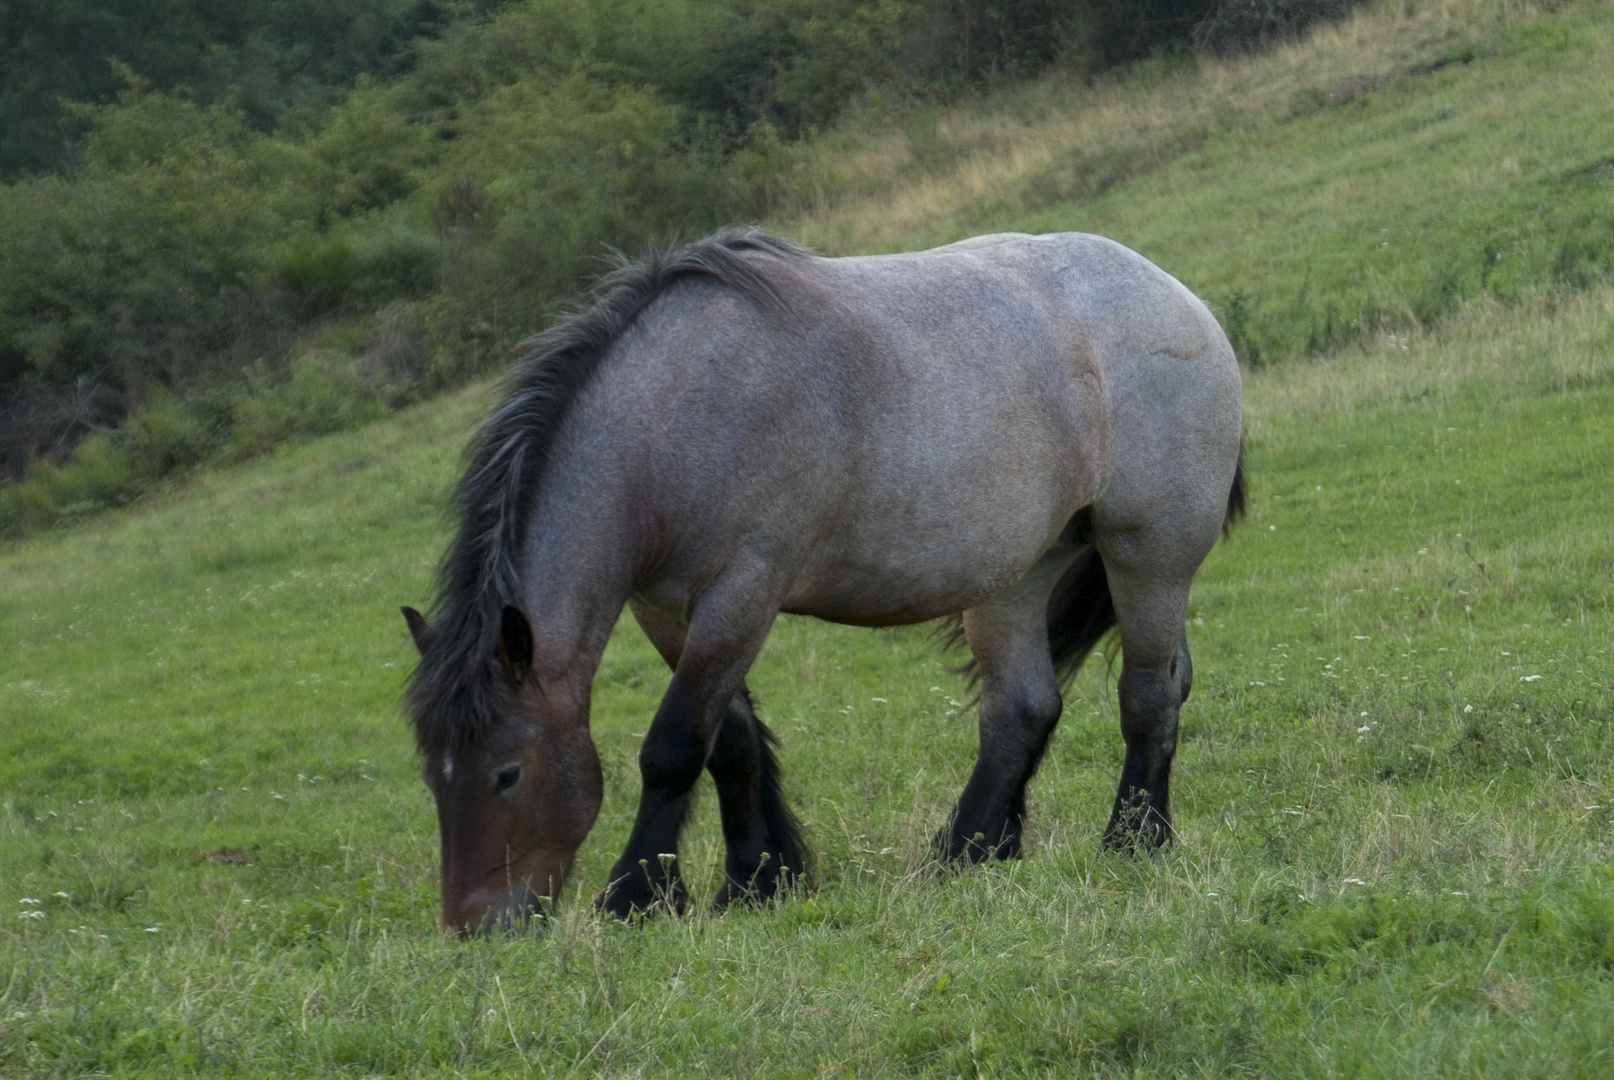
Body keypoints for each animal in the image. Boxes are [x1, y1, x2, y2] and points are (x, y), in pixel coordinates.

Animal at [403, 226, 1246, 929]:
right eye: (434, 779)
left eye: (506, 774)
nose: (472, 927)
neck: (677, 420)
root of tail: (1186, 304)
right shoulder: (667, 611)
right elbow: (731, 743)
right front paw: (755, 879)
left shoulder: (743, 594)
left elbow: (673, 747)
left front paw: (638, 894)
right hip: (1015, 575)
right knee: (1022, 709)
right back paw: (967, 853)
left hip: (1149, 555)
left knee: (1148, 694)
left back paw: (1134, 839)